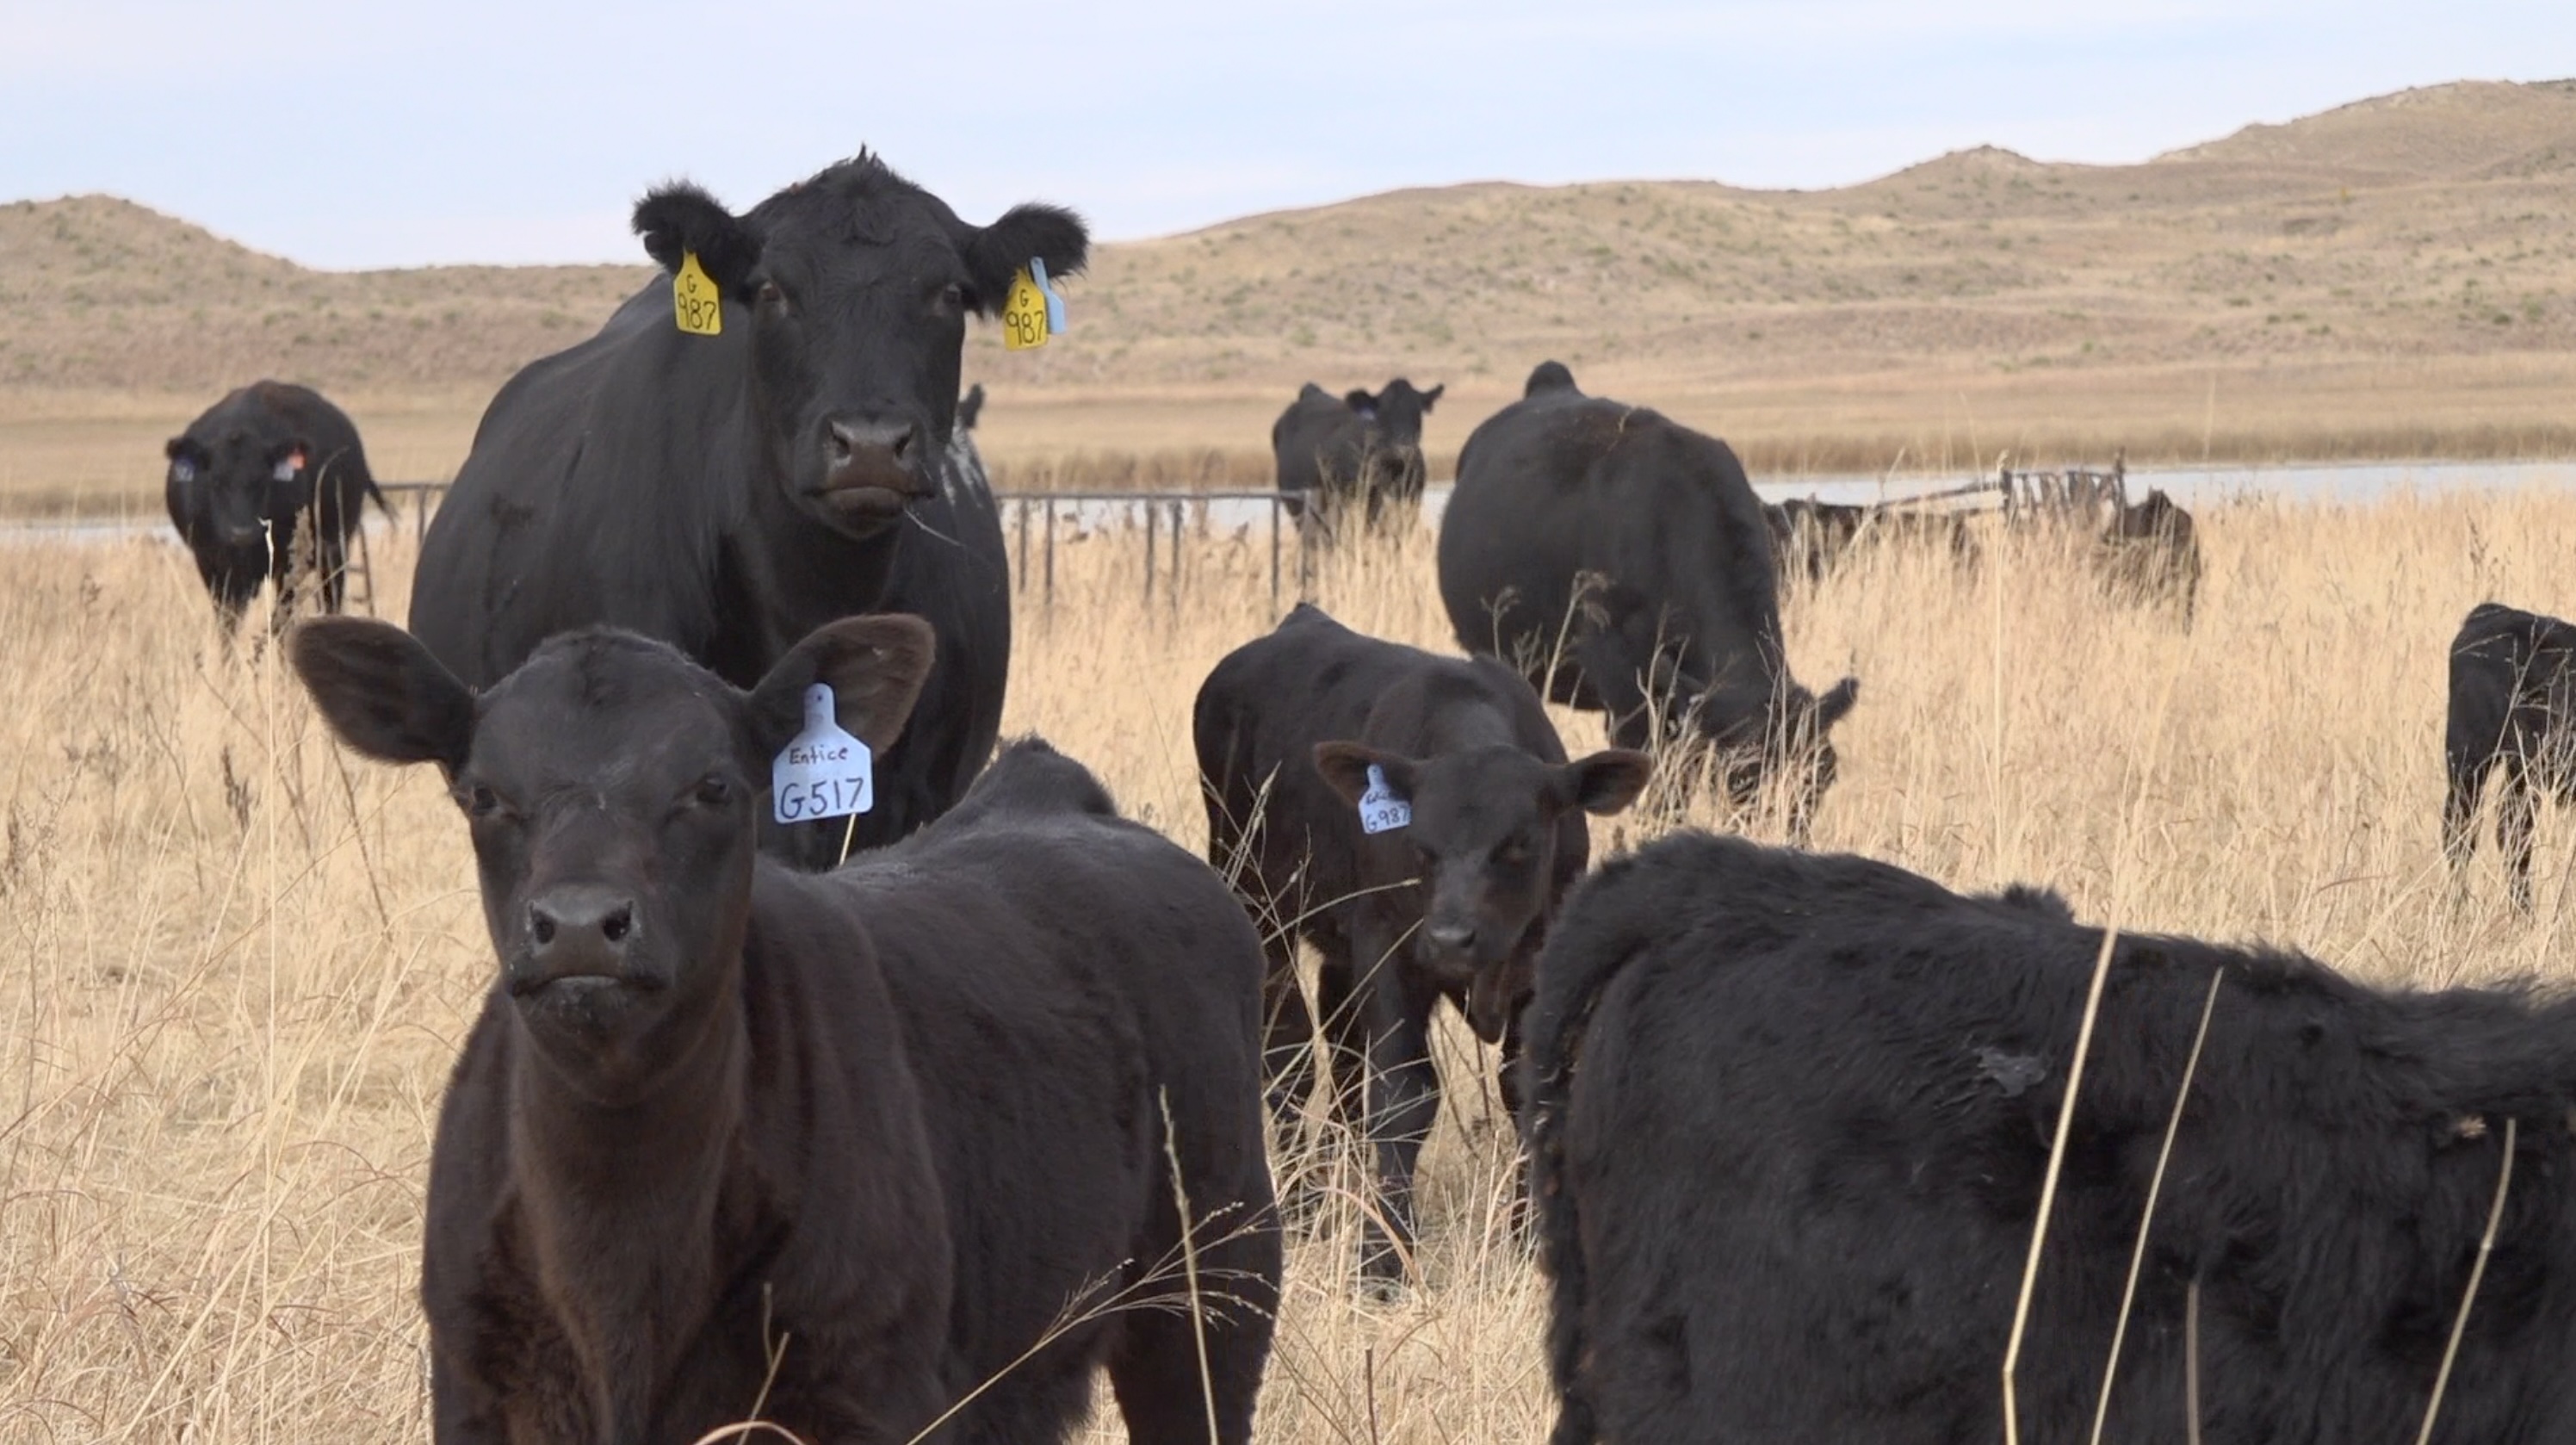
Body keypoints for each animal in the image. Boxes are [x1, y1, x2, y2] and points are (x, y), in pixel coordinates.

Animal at [163, 381, 384, 636]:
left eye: (261, 480)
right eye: (216, 481)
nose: (242, 532)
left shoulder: (287, 564)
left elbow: (280, 621)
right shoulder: (210, 563)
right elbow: (227, 624)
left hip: (335, 551)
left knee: (330, 600)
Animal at [289, 615, 1279, 1445]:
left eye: (713, 785)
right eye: (483, 794)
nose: (576, 925)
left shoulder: (874, 1391)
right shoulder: (474, 1386)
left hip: (1214, 1296)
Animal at [1194, 603, 1650, 1286]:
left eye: (1521, 842)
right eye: (1419, 845)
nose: (1451, 938)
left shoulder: (1538, 966)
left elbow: (1527, 1089)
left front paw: (1528, 1238)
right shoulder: (1391, 953)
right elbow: (1402, 1095)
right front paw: (1384, 1260)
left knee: (1342, 1059)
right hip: (1253, 896)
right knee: (1290, 1059)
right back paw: (1304, 1204)